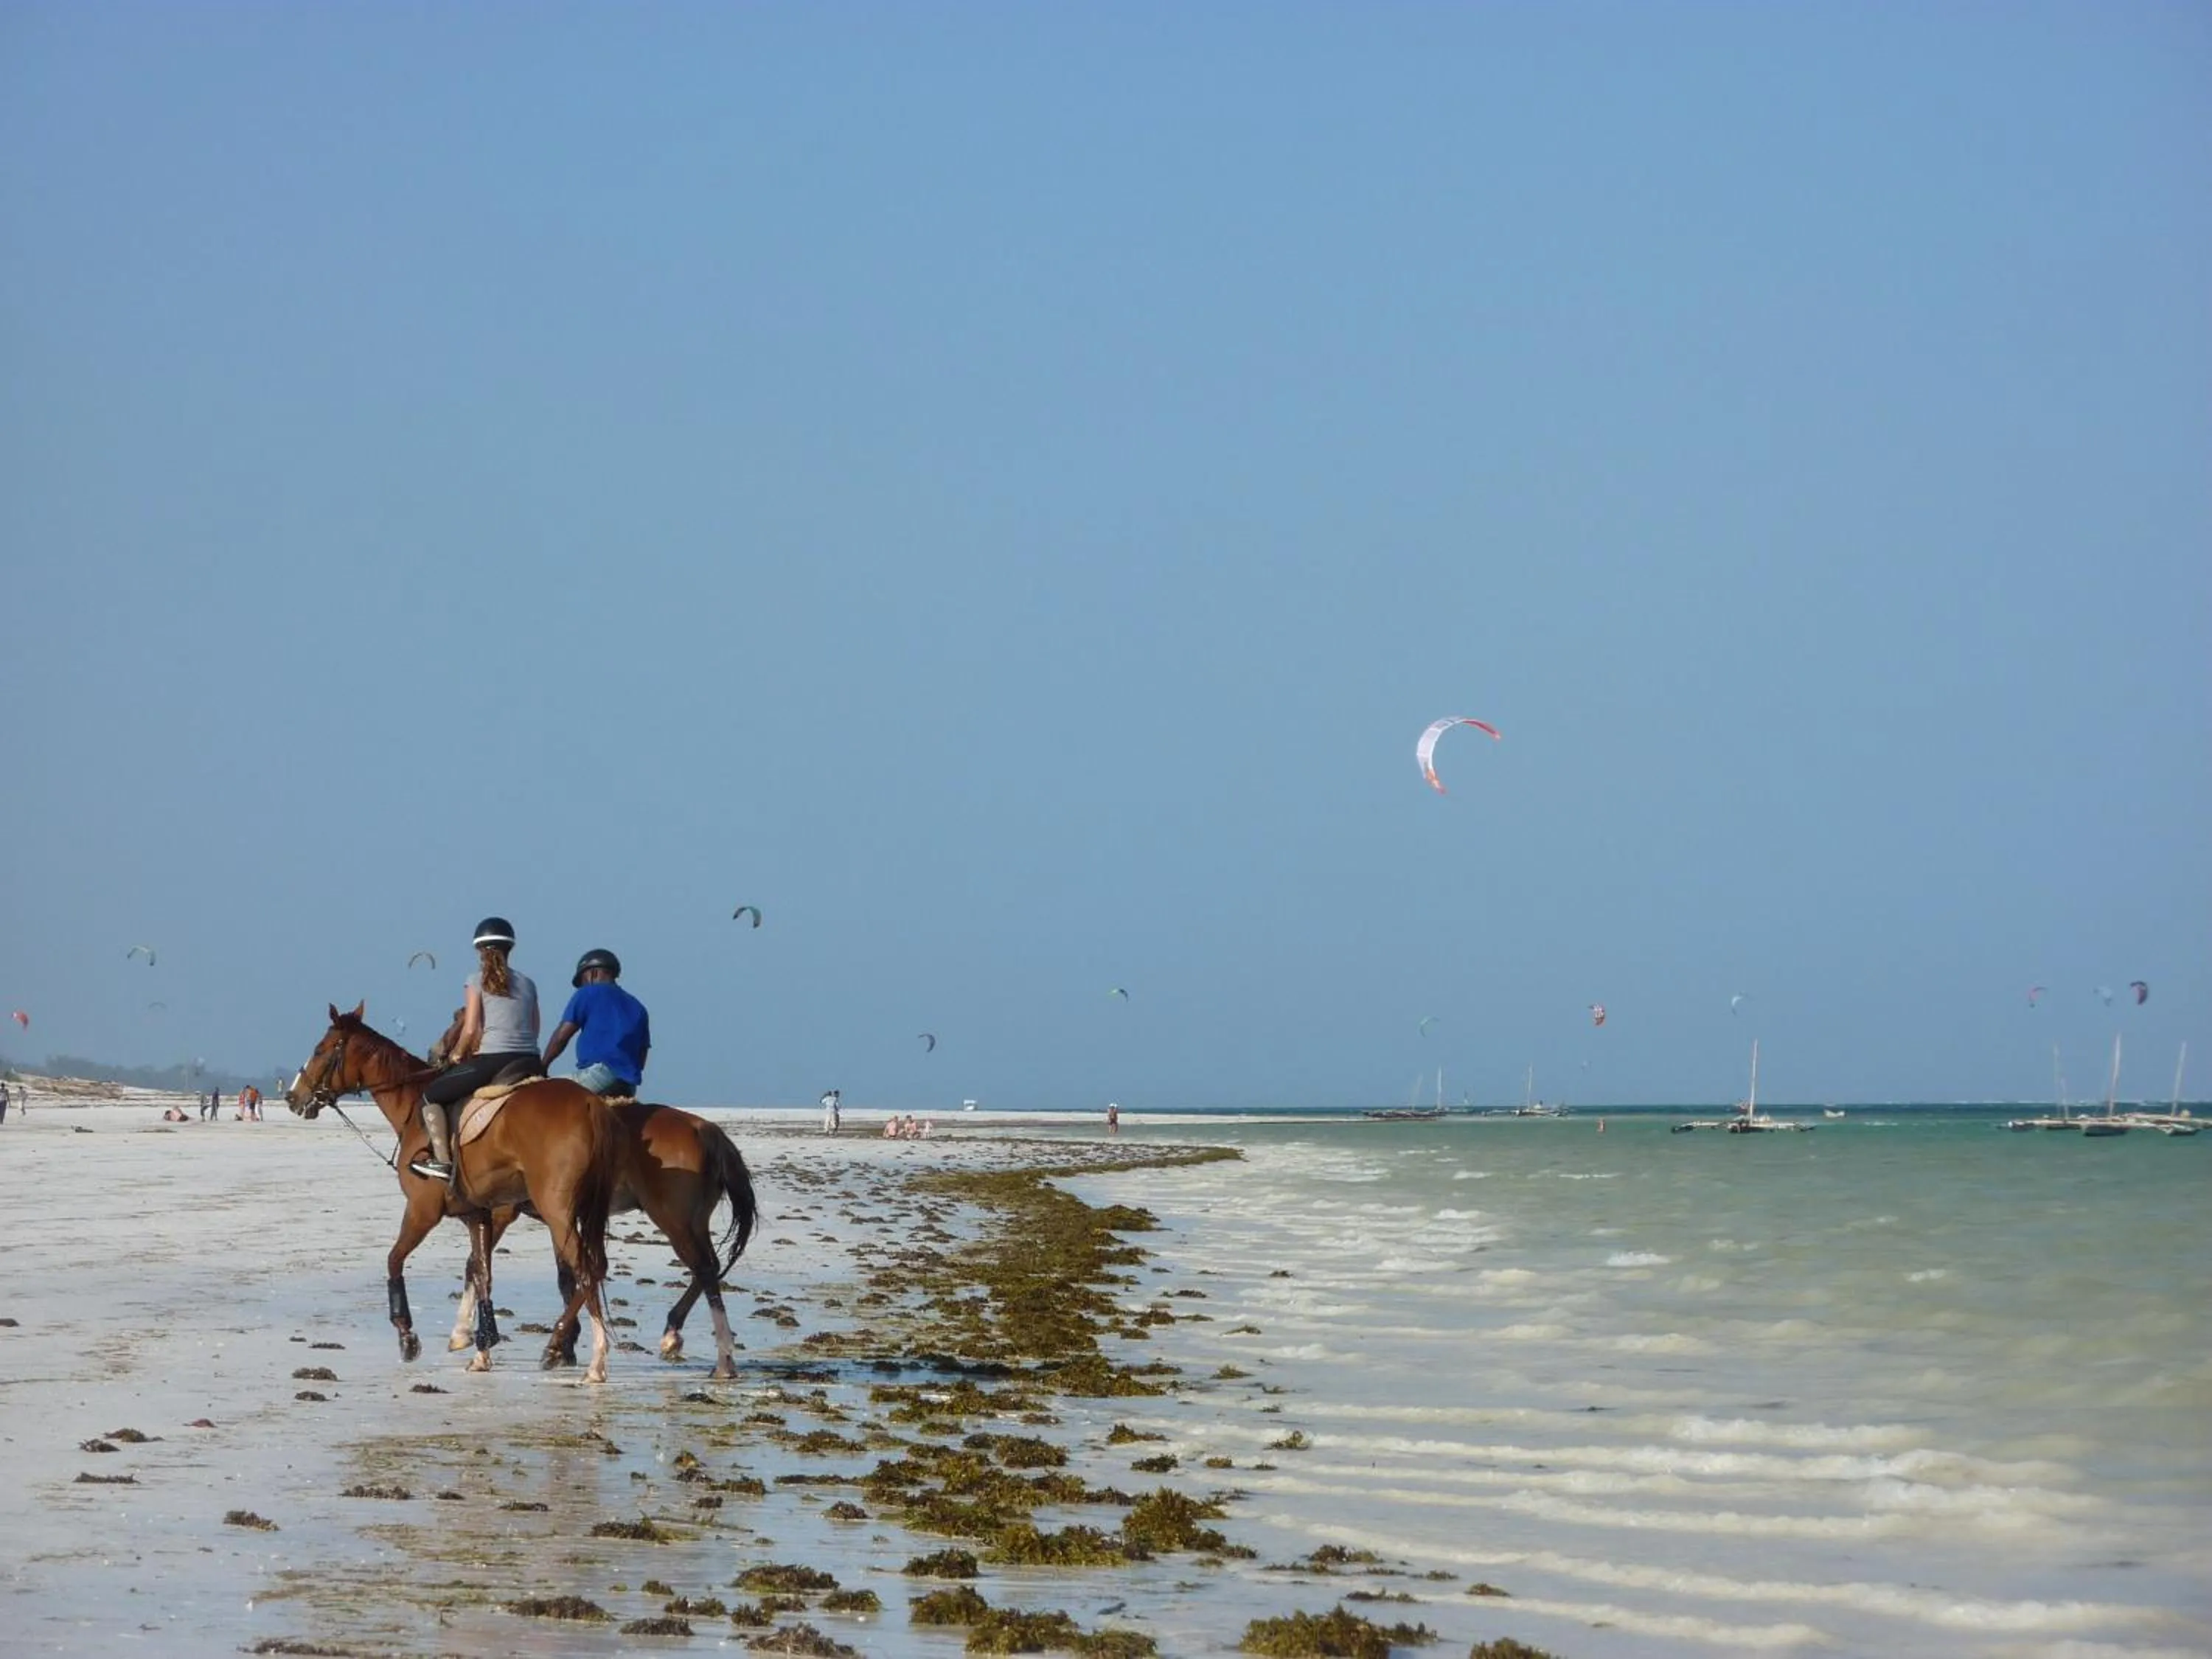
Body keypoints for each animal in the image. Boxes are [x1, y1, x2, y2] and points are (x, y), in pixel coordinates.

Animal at [285, 1003, 623, 1381]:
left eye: (321, 1050)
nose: (292, 1096)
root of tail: (592, 1105)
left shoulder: (422, 1210)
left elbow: (395, 1260)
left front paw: (408, 1336)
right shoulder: (478, 1215)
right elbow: (481, 1272)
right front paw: (482, 1347)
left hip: (557, 1212)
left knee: (586, 1271)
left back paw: (591, 1359)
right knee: (590, 1269)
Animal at [431, 1009, 758, 1379]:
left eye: (458, 1019)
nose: (437, 1053)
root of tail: (705, 1129)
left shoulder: (507, 1212)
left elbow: (476, 1265)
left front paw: (465, 1335)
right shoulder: (555, 1216)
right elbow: (566, 1276)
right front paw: (565, 1346)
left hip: (671, 1218)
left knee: (702, 1266)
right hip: (693, 1220)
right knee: (710, 1267)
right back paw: (698, 1347)